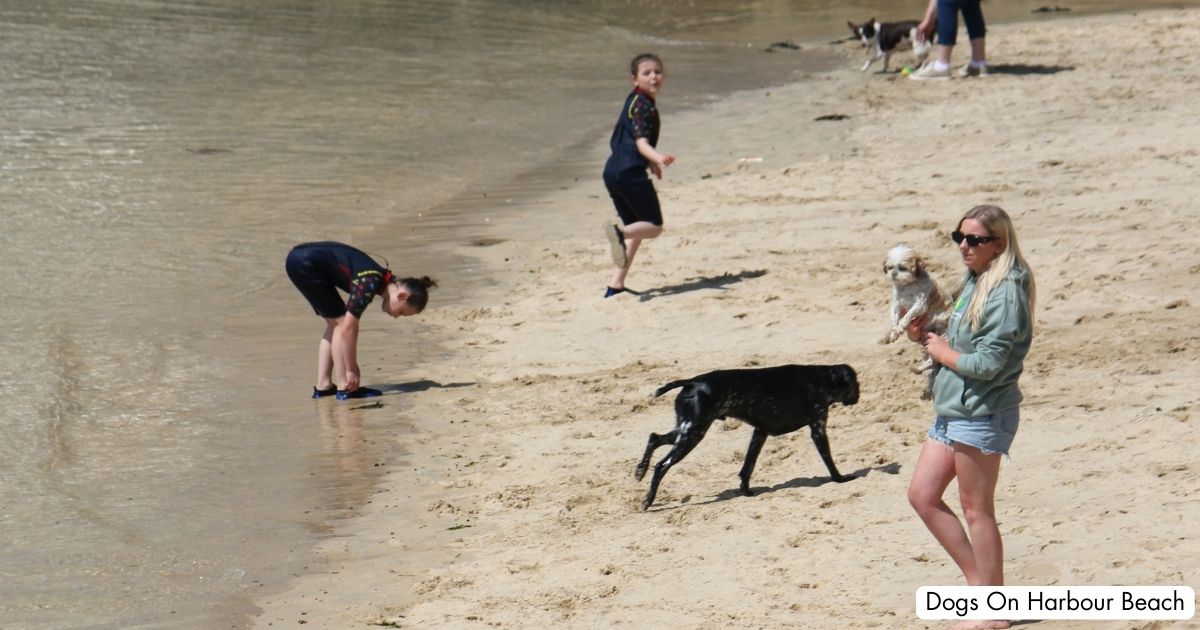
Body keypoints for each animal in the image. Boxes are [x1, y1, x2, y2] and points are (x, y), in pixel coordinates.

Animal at [633, 362, 859, 511]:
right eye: (856, 383)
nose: (858, 396)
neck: (822, 377)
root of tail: (692, 382)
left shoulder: (760, 432)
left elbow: (748, 466)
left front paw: (746, 491)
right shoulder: (818, 429)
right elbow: (830, 462)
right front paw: (840, 479)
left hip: (684, 431)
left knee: (654, 438)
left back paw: (640, 471)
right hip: (692, 435)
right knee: (661, 465)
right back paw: (647, 500)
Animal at [878, 244, 950, 398]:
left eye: (902, 268)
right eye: (890, 267)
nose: (894, 273)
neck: (907, 286)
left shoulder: (919, 305)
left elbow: (907, 317)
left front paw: (899, 328)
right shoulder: (897, 303)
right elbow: (894, 317)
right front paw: (893, 332)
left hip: (942, 338)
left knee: (933, 360)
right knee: (931, 362)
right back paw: (919, 372)